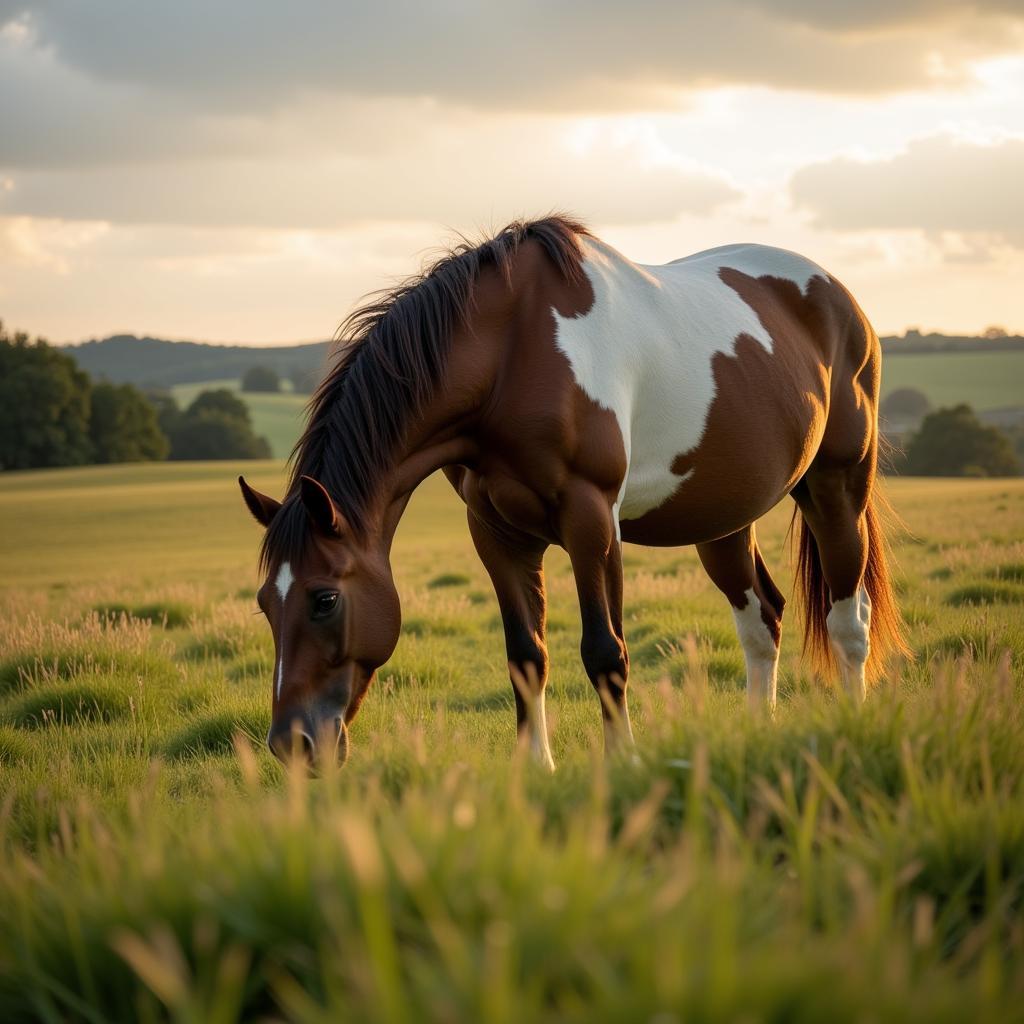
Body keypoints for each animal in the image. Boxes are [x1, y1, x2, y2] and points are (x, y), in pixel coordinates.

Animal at [237, 214, 905, 770]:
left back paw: (852, 725)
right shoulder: (497, 535)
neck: (511, 353)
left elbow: (606, 653)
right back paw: (757, 730)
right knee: (762, 619)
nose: (291, 743)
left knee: (848, 619)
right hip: (724, 520)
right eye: (265, 604)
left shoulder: (592, 521)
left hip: (836, 488)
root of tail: (841, 298)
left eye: (324, 599)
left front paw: (623, 763)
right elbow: (525, 657)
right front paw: (536, 769)